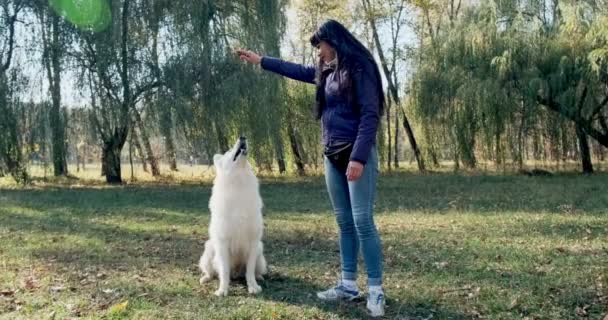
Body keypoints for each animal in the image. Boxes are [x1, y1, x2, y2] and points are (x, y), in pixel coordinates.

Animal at [198, 136, 268, 296]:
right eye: (229, 151)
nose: (242, 137)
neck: (239, 182)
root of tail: (236, 273)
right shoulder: (222, 242)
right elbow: (224, 271)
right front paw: (222, 290)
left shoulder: (253, 243)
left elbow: (249, 271)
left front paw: (253, 287)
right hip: (209, 248)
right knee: (212, 271)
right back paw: (205, 278)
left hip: (260, 251)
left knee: (254, 271)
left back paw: (259, 277)